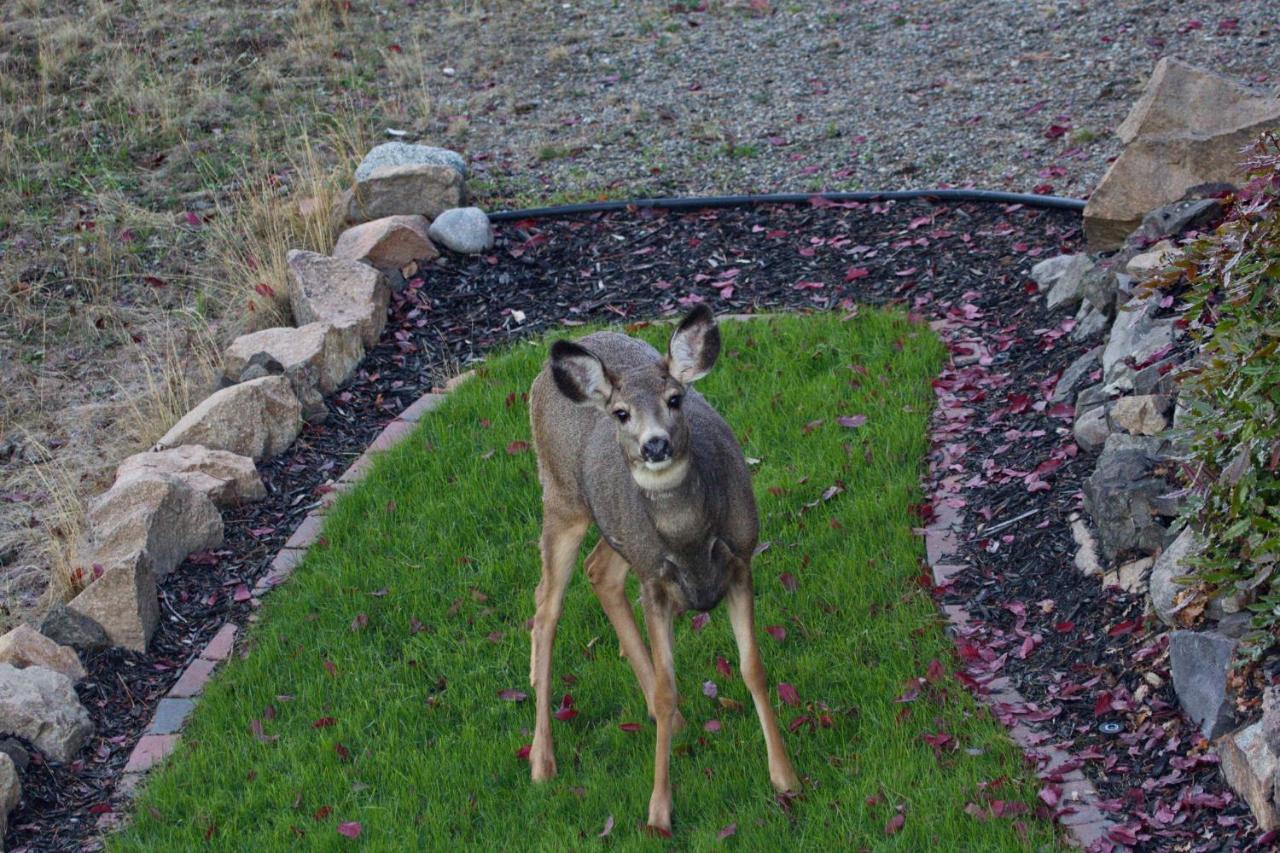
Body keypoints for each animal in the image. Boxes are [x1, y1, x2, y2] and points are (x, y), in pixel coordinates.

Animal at [524, 303, 793, 829]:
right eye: (622, 413)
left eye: (675, 398)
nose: (654, 445)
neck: (690, 541)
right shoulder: (653, 580)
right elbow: (672, 687)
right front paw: (658, 811)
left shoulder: (740, 561)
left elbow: (752, 667)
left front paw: (785, 776)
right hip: (562, 500)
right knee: (545, 608)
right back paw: (542, 760)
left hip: (614, 527)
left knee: (598, 571)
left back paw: (671, 719)